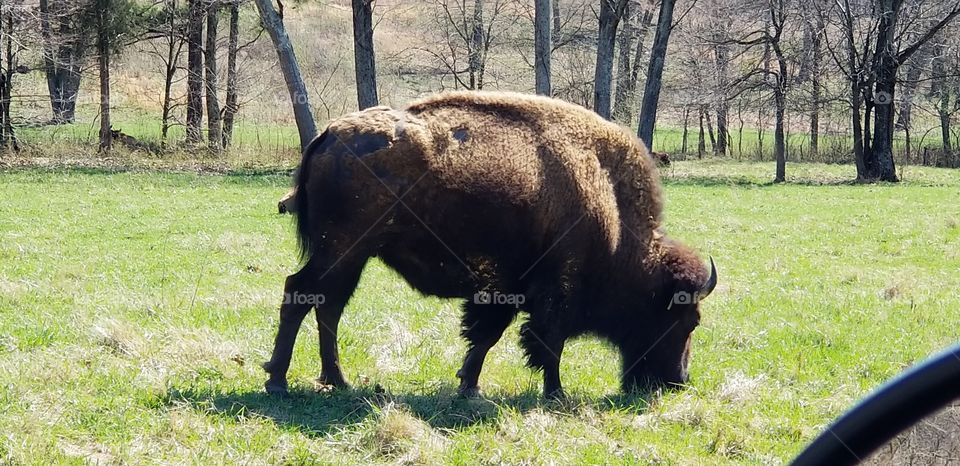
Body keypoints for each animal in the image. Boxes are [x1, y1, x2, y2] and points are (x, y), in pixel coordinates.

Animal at [263, 91, 717, 398]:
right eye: (688, 320)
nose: (678, 381)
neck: (610, 205)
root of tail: (328, 135)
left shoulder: (506, 290)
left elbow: (486, 336)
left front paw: (469, 386)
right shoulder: (552, 292)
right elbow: (545, 343)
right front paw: (556, 393)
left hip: (352, 257)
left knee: (327, 306)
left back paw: (336, 380)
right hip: (342, 251)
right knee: (301, 294)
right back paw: (278, 381)